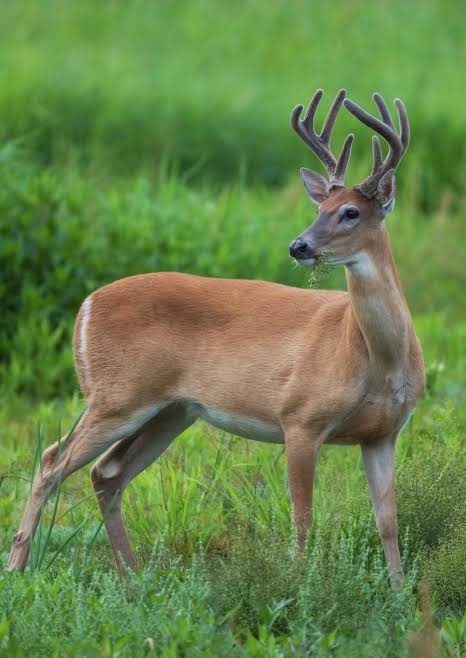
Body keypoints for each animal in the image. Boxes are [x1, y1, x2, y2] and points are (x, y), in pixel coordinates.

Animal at [7, 89, 424, 589]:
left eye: (350, 212)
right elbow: (303, 517)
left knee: (106, 471)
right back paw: (17, 567)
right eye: (318, 209)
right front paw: (296, 587)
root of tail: (84, 306)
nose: (299, 246)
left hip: (172, 410)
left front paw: (399, 595)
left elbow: (388, 521)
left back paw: (133, 577)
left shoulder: (383, 434)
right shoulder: (300, 417)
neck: (373, 358)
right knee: (53, 460)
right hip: (117, 396)